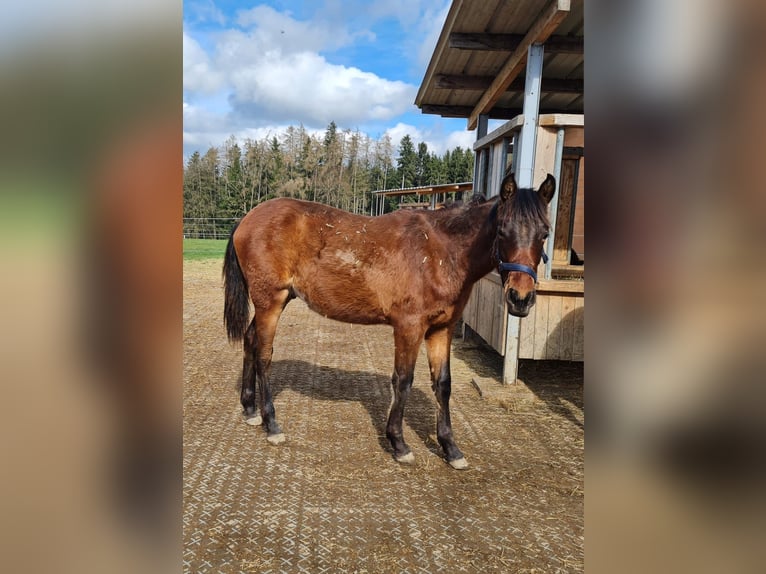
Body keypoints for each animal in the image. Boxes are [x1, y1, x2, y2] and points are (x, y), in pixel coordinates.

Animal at [225, 173, 556, 470]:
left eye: (544, 234)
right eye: (501, 231)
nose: (520, 298)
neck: (440, 251)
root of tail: (247, 219)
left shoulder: (441, 329)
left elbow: (443, 384)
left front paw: (450, 448)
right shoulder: (409, 327)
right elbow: (403, 380)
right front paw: (399, 443)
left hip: (274, 302)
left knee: (250, 341)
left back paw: (250, 409)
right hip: (270, 302)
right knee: (264, 355)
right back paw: (271, 424)